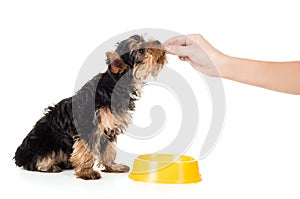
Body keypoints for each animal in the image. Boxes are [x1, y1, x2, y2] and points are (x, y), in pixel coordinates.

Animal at [14, 35, 168, 180]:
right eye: (141, 50)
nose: (158, 42)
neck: (115, 85)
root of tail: (20, 154)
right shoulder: (89, 126)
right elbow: (85, 151)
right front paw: (86, 172)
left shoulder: (108, 127)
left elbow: (108, 150)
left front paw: (112, 166)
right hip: (46, 144)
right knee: (40, 159)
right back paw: (50, 166)